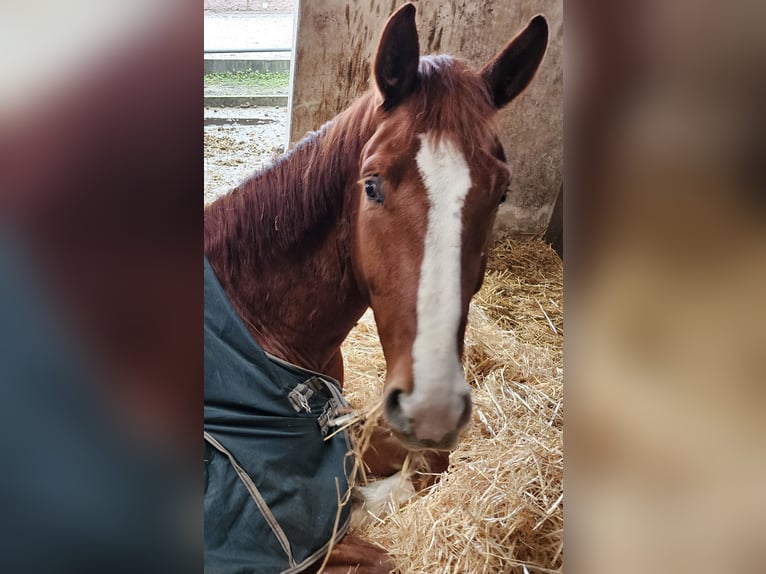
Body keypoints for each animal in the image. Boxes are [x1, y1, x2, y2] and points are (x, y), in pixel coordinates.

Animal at [206, 4, 544, 574]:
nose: (432, 406)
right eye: (372, 184)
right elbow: (382, 545)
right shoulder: (287, 541)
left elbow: (425, 458)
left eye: (501, 193)